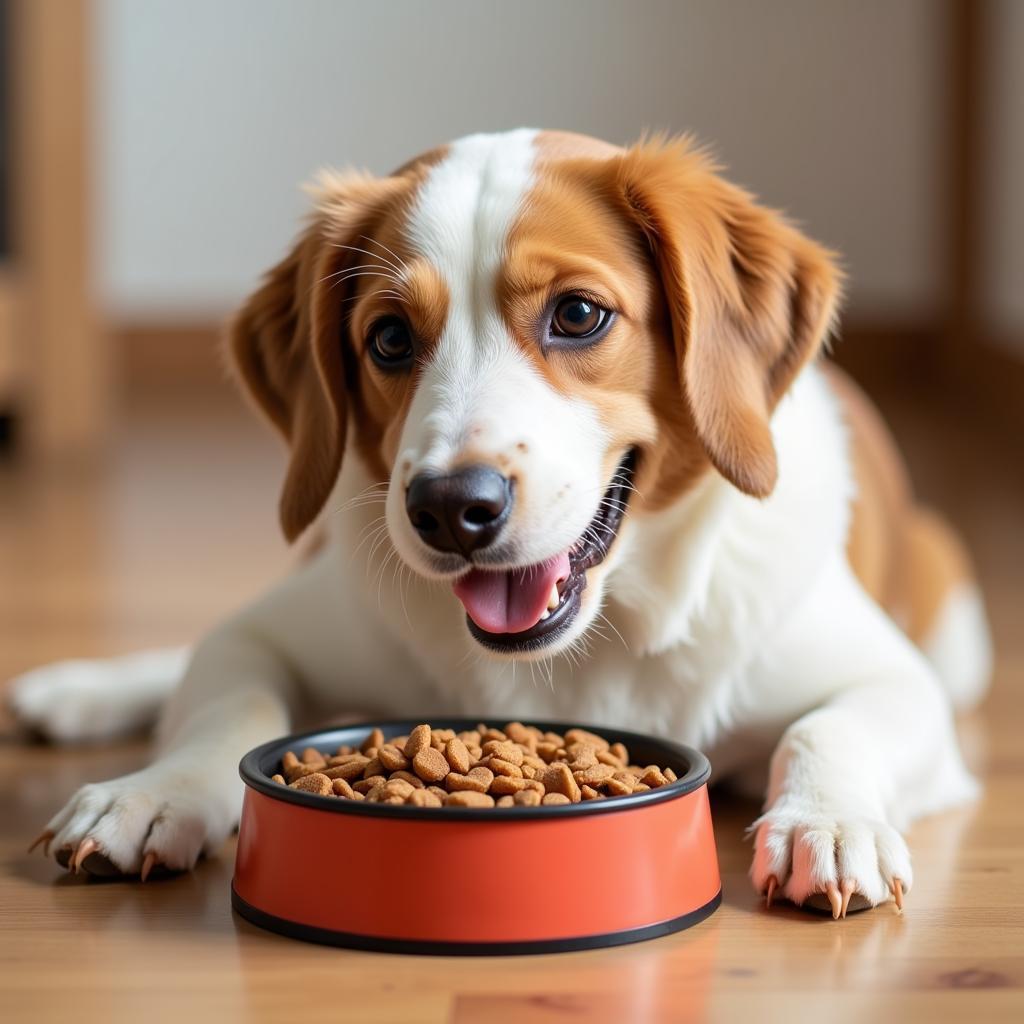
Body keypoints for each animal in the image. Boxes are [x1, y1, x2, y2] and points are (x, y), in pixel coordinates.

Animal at [8, 132, 987, 917]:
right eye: (390, 339)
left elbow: (826, 728)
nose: (450, 508)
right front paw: (153, 793)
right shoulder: (270, 633)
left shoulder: (897, 681)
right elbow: (227, 701)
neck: (586, 653)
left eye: (579, 314)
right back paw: (79, 692)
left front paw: (829, 820)